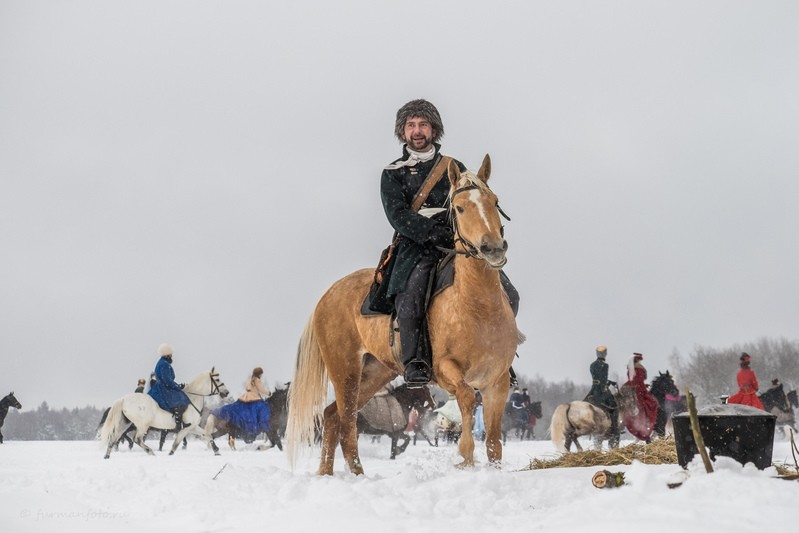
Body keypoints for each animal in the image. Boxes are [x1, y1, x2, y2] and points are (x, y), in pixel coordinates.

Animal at [288, 155, 520, 474]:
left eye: (494, 201)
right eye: (459, 207)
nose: (493, 249)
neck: (478, 307)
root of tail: (328, 294)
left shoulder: (497, 384)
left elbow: (495, 443)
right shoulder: (447, 371)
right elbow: (466, 400)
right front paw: (464, 457)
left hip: (374, 373)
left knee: (333, 415)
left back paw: (327, 474)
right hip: (345, 370)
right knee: (347, 421)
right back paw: (356, 473)